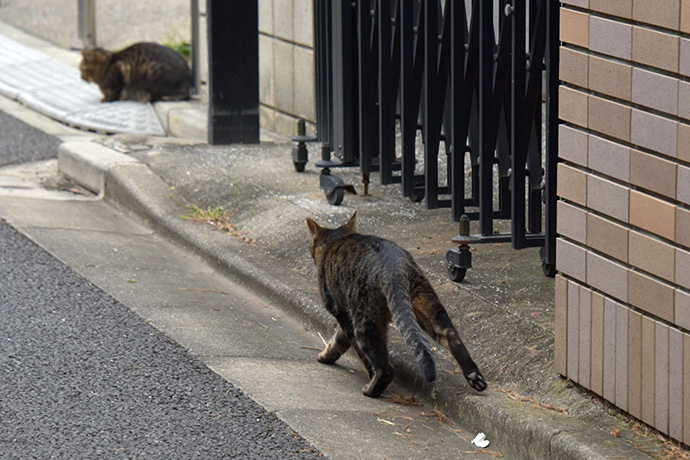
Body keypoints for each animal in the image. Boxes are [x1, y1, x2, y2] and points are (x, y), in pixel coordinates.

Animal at [306, 214, 484, 398]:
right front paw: (326, 355)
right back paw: (473, 375)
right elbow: (338, 340)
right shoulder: (346, 318)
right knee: (450, 335)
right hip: (426, 304)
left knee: (385, 368)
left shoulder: (344, 315)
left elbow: (357, 351)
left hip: (365, 321)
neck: (336, 241)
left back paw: (371, 389)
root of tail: (393, 265)